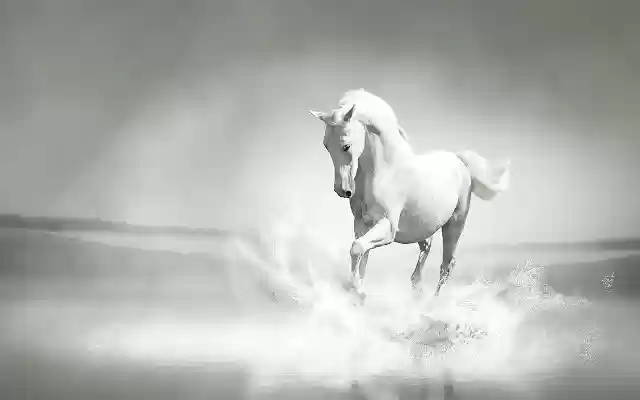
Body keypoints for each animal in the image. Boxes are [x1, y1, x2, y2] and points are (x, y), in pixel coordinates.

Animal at [309, 89, 510, 301]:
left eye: (346, 145)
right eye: (326, 145)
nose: (342, 190)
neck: (383, 171)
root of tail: (459, 160)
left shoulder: (388, 227)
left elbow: (357, 248)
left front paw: (359, 292)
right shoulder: (361, 224)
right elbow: (361, 254)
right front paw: (356, 291)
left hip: (455, 223)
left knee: (447, 264)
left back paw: (434, 301)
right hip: (423, 225)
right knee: (427, 247)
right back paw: (417, 289)